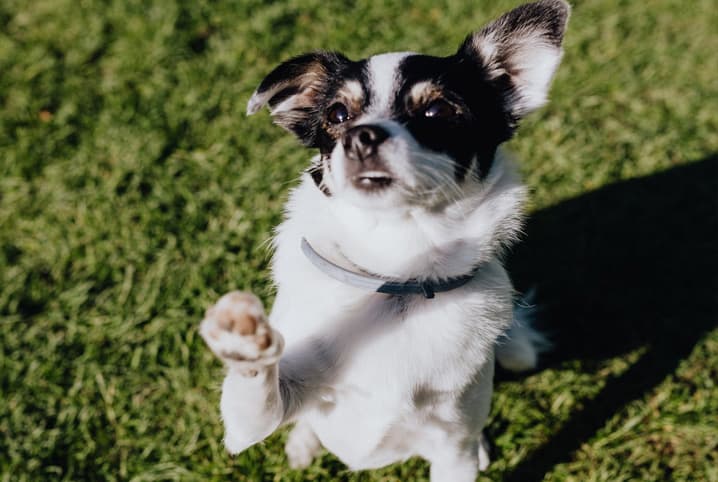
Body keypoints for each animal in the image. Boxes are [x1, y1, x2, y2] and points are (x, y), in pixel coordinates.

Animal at [200, 1, 572, 480]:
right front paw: (242, 337)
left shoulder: (453, 450)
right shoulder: (249, 424)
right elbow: (255, 391)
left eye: (437, 112)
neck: (397, 275)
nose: (362, 136)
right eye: (338, 115)